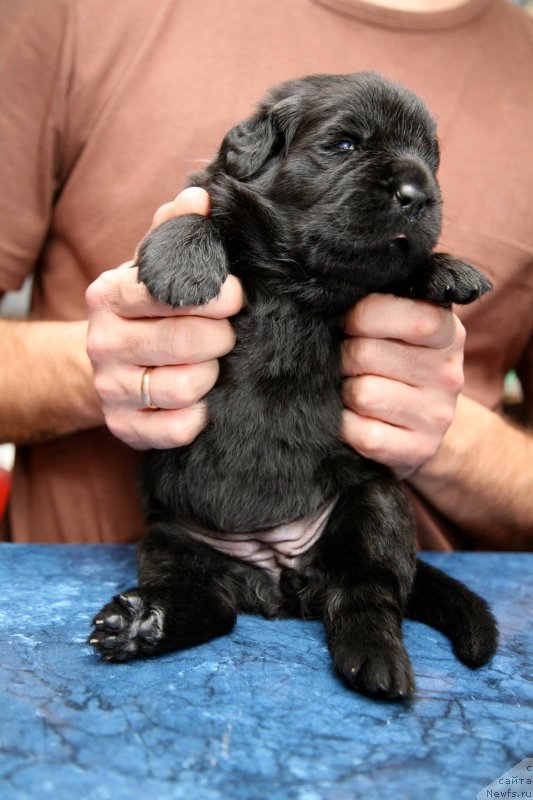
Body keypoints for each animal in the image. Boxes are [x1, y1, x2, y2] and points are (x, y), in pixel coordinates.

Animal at [90, 75, 494, 700]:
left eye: (431, 159)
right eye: (346, 144)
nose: (417, 193)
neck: (297, 278)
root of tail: (276, 579)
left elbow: (397, 268)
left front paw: (447, 268)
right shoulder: (215, 199)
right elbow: (197, 216)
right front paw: (182, 265)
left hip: (375, 504)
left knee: (365, 593)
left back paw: (376, 659)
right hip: (170, 537)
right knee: (213, 604)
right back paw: (142, 622)